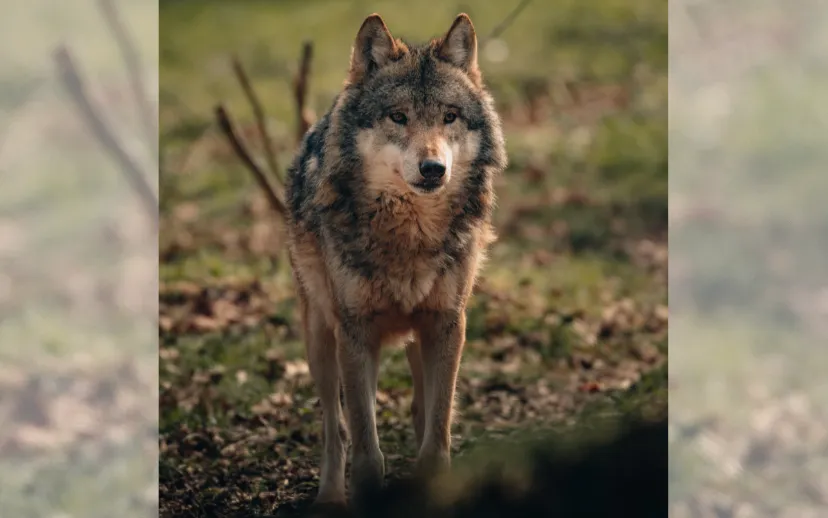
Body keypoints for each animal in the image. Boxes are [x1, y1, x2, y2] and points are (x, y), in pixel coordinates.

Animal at [284, 12, 507, 507]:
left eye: (449, 116)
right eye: (398, 117)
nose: (433, 169)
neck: (411, 236)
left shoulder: (448, 323)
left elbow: (437, 432)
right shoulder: (354, 331)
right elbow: (365, 448)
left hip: (419, 338)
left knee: (421, 408)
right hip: (319, 338)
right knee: (334, 428)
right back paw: (330, 497)